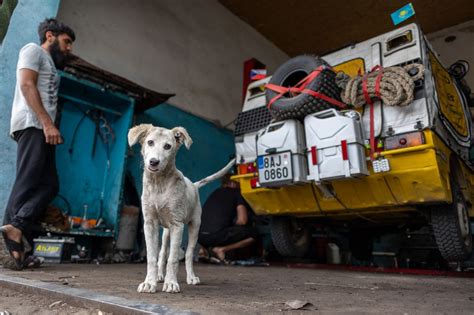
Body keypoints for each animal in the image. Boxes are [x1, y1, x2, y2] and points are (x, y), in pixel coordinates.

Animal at [129, 124, 234, 294]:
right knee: (163, 252)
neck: (159, 183)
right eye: (150, 142)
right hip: (166, 231)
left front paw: (171, 283)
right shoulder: (150, 224)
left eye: (167, 146)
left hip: (194, 226)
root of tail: (194, 184)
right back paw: (160, 275)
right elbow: (152, 256)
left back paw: (191, 277)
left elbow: (173, 259)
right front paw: (149, 283)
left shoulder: (177, 225)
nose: (154, 162)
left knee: (189, 253)